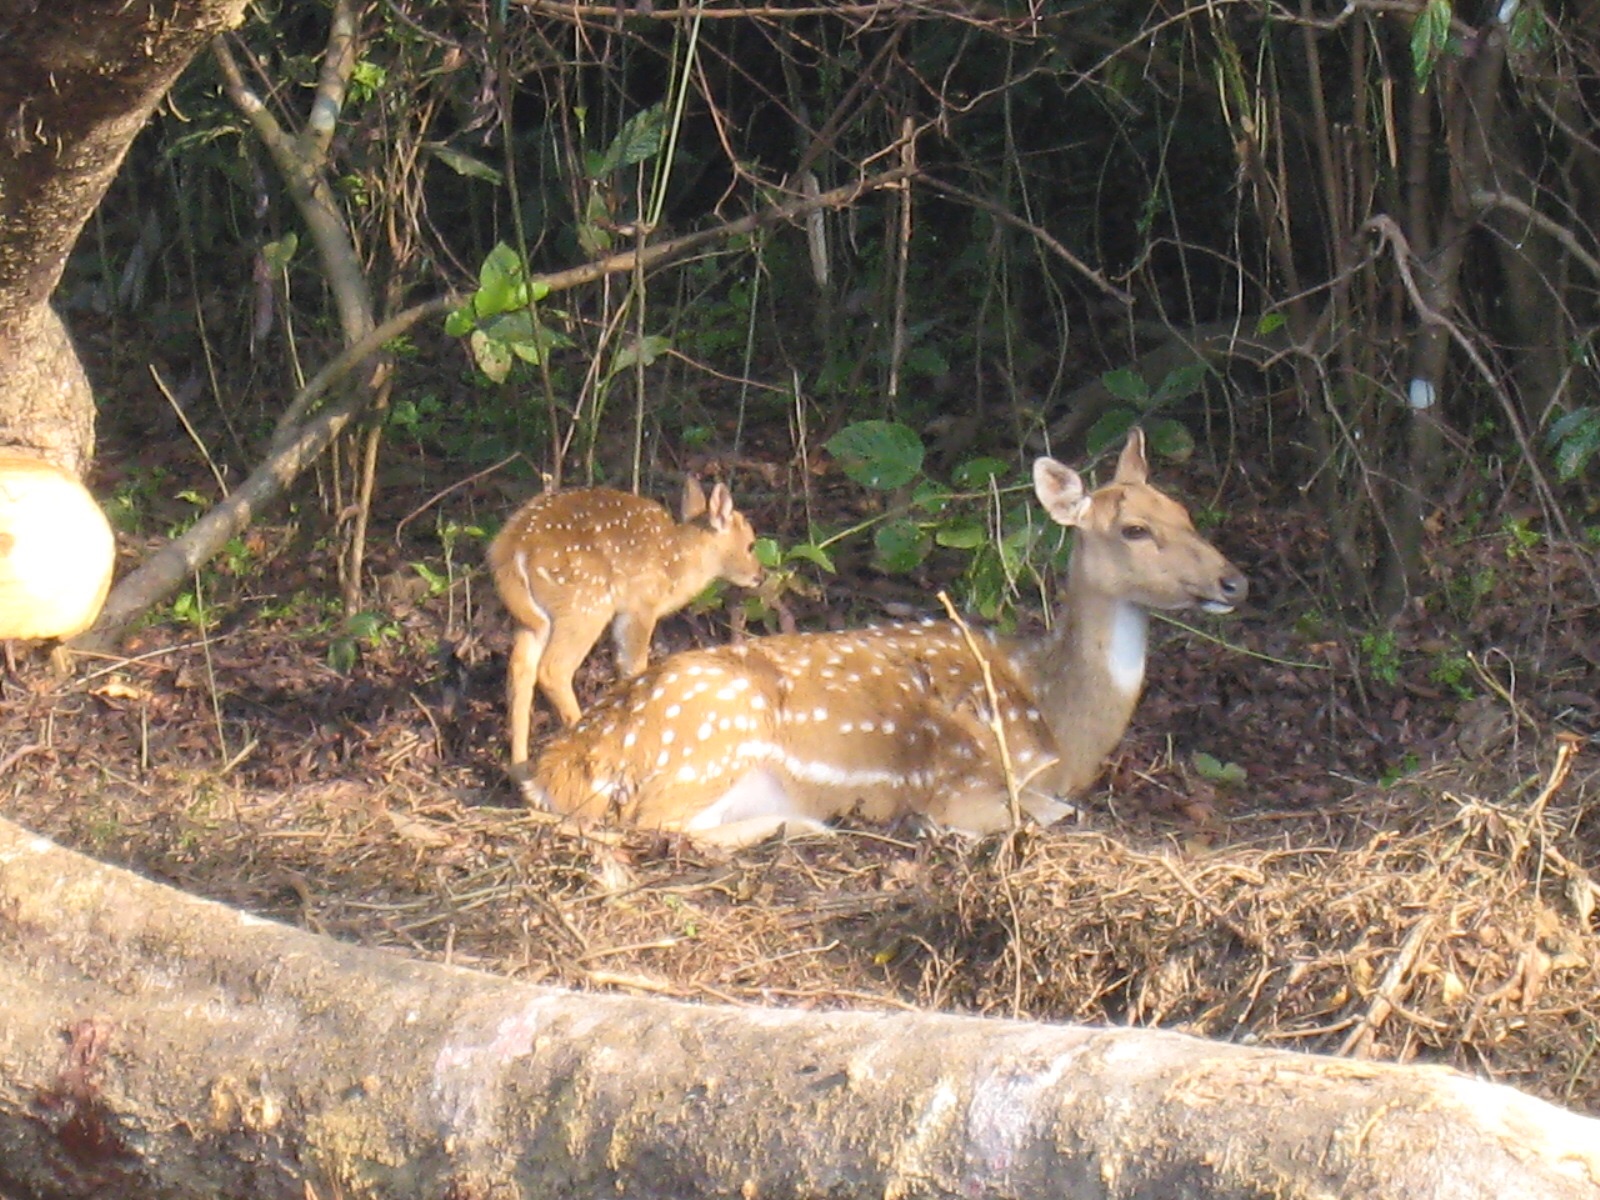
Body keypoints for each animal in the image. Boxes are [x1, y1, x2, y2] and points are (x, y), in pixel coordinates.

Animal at [486, 473, 761, 764]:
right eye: (751, 545)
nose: (760, 575)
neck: (677, 565)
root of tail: (510, 548)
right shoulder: (640, 606)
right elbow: (635, 667)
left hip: (535, 618)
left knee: (519, 669)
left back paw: (519, 765)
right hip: (584, 604)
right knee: (553, 669)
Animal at [524, 432, 1248, 844]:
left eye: (1183, 512)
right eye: (1134, 530)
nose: (1234, 579)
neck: (1059, 722)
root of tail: (559, 766)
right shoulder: (962, 776)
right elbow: (1049, 813)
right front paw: (931, 826)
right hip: (709, 735)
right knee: (651, 823)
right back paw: (803, 824)